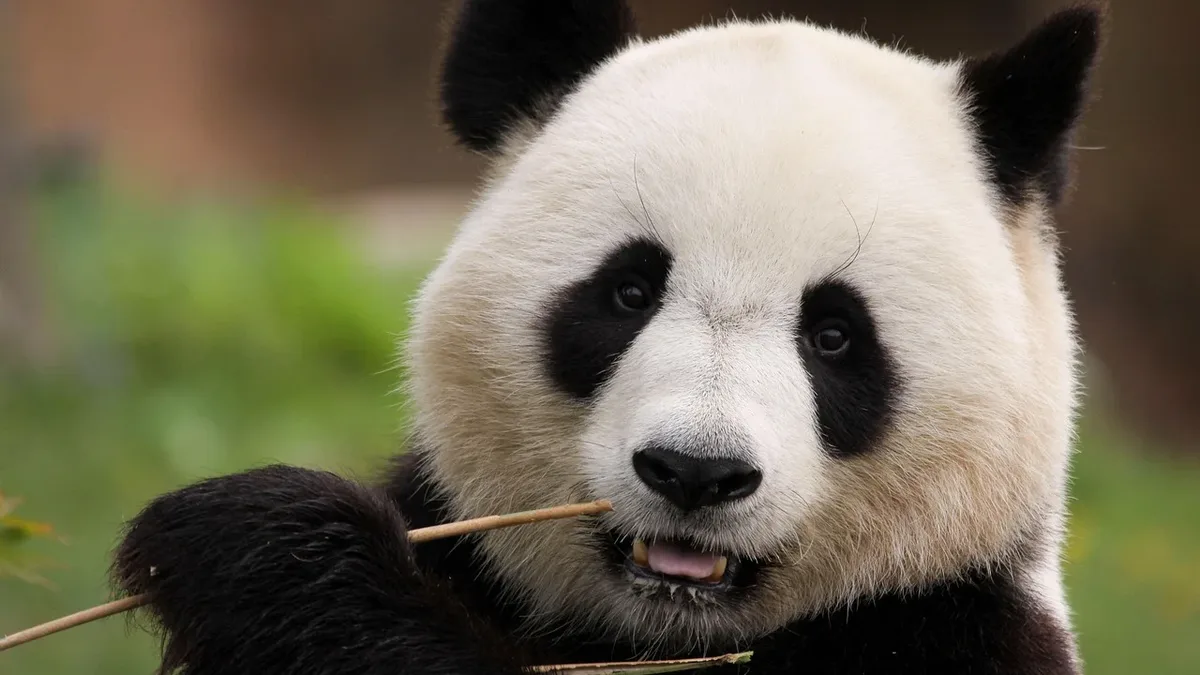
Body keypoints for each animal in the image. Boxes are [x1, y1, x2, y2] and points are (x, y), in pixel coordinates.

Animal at [111, 1, 1104, 673]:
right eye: (629, 290)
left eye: (833, 335)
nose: (695, 472)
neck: (660, 636)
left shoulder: (952, 629)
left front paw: (259, 538)